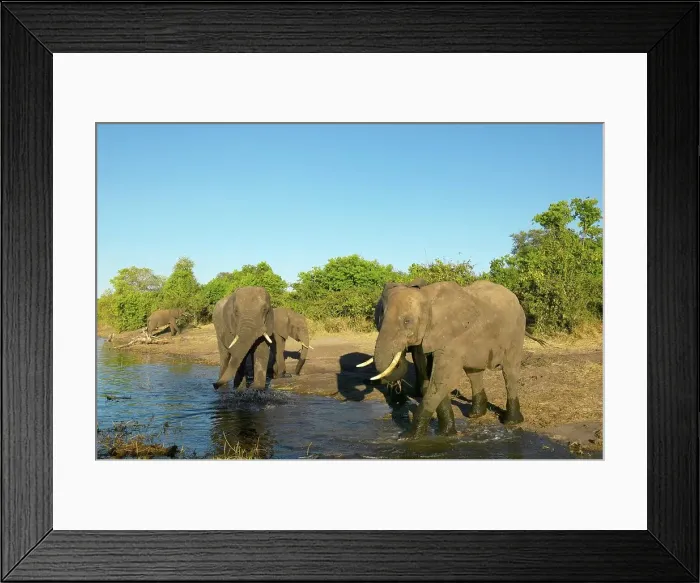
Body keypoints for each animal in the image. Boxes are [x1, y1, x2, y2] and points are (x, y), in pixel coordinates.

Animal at [370, 279, 535, 439]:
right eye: (380, 319)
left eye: (407, 321)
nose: (403, 352)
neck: (427, 296)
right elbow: (433, 380)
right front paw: (447, 434)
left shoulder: (452, 337)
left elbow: (443, 379)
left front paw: (409, 437)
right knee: (473, 373)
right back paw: (475, 415)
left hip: (515, 332)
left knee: (509, 373)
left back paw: (511, 421)